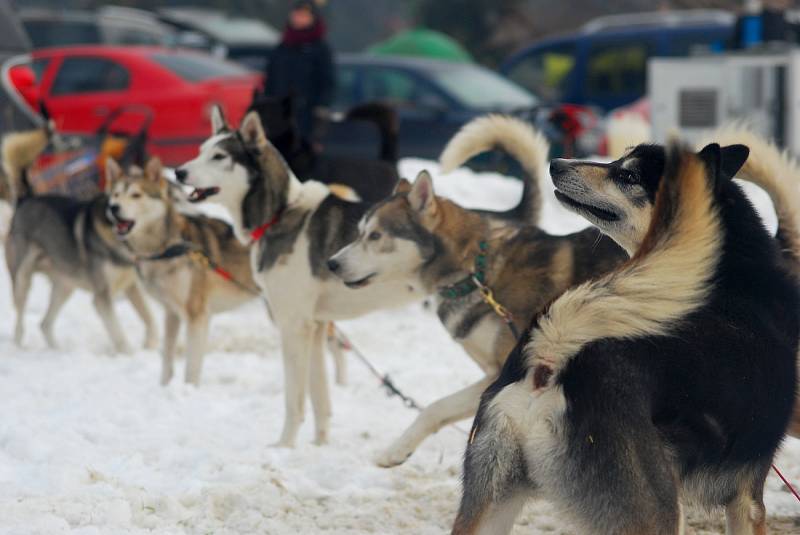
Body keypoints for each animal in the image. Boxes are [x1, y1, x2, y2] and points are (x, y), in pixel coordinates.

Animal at [454, 141, 800, 535]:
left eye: (628, 175)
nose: (556, 164)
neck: (735, 278)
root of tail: (554, 354)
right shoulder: (747, 498)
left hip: (492, 503)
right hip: (657, 512)